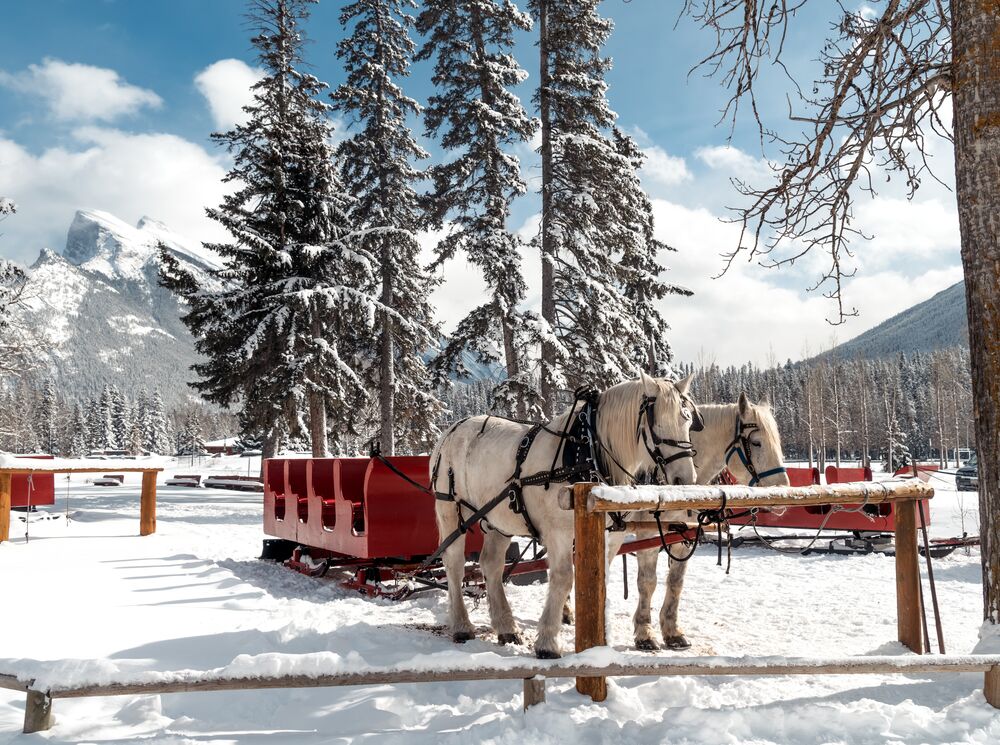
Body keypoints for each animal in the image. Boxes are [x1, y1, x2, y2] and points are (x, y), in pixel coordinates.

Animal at [430, 373, 701, 659]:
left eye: (687, 421)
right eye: (655, 423)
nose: (684, 479)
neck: (587, 453)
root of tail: (452, 429)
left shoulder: (610, 536)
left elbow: (600, 579)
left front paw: (601, 637)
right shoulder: (558, 534)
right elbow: (563, 578)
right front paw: (548, 642)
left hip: (498, 520)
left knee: (491, 565)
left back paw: (507, 628)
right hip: (450, 509)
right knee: (454, 564)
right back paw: (462, 626)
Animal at [608, 392, 790, 651]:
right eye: (756, 443)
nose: (783, 490)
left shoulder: (684, 535)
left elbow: (676, 582)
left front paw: (672, 631)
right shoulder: (648, 534)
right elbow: (647, 582)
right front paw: (645, 633)